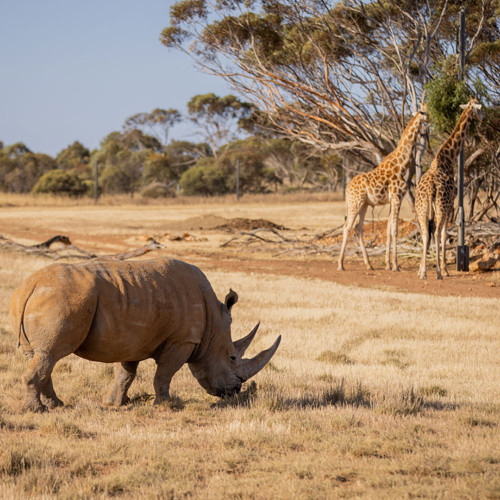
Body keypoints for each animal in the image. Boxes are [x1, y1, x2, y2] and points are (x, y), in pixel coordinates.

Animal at [338, 103, 428, 272]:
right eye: (423, 112)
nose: (428, 121)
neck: (401, 164)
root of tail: (346, 190)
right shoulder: (397, 197)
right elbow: (395, 230)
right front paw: (396, 265)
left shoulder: (394, 200)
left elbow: (388, 230)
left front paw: (388, 264)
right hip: (355, 203)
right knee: (347, 227)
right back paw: (340, 264)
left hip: (364, 205)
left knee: (358, 228)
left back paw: (369, 264)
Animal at [416, 95, 482, 280]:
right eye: (479, 107)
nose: (482, 118)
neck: (447, 158)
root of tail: (430, 189)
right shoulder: (450, 203)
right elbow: (445, 233)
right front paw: (445, 269)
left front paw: (423, 269)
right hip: (440, 206)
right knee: (437, 232)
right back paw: (438, 272)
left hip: (422, 208)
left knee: (425, 234)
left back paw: (423, 272)